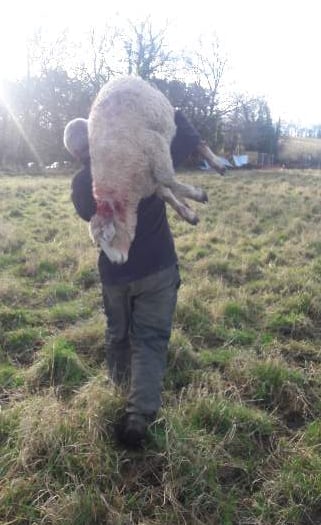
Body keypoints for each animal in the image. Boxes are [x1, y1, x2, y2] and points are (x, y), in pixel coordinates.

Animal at [63, 75, 220, 264]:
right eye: (98, 243)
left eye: (107, 238)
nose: (115, 263)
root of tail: (122, 78)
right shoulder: (149, 182)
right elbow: (167, 194)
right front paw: (188, 213)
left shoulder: (155, 145)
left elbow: (167, 178)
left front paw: (198, 195)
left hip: (169, 116)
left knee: (197, 142)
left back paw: (216, 163)